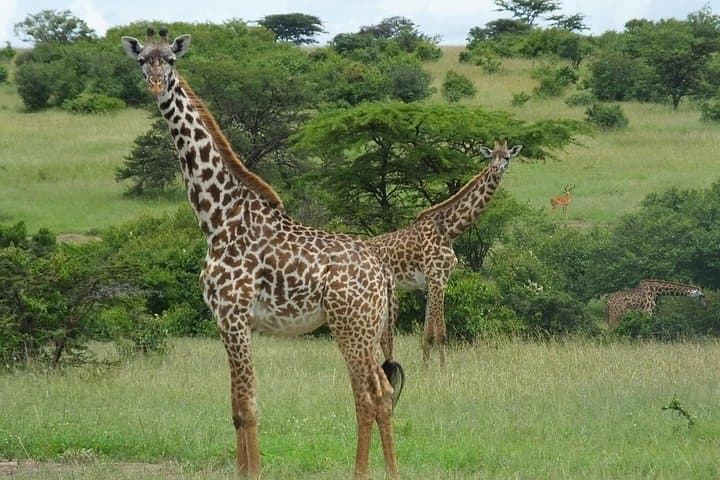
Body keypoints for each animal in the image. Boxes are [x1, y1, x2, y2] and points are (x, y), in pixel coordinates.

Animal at [122, 29, 404, 479]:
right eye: (141, 60)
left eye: (171, 60)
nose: (155, 84)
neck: (218, 219)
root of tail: (383, 273)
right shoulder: (225, 320)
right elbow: (236, 406)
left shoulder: (235, 315)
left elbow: (248, 407)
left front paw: (253, 471)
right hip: (368, 330)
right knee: (380, 392)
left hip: (351, 328)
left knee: (372, 395)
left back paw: (368, 473)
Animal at [370, 140, 522, 366]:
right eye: (491, 157)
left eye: (507, 157)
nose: (496, 169)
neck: (449, 231)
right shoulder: (437, 279)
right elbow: (441, 332)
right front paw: (443, 369)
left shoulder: (434, 282)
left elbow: (427, 334)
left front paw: (425, 369)